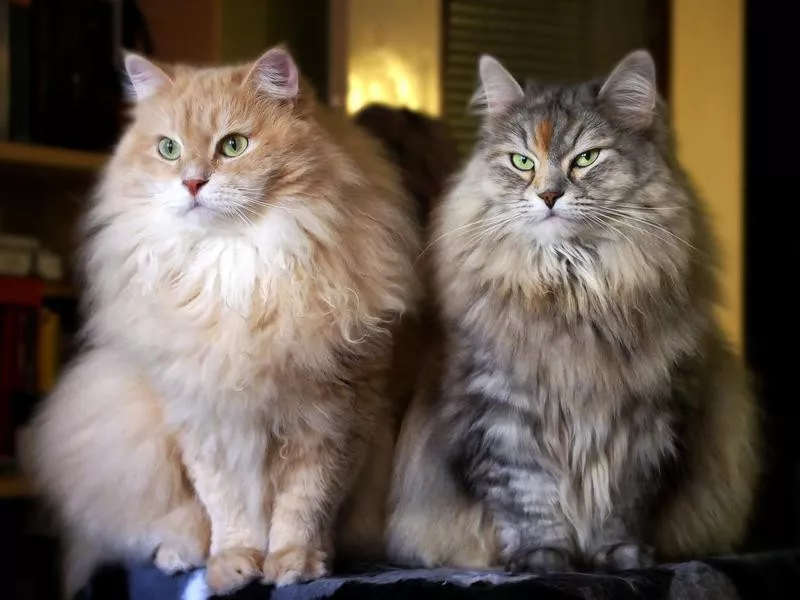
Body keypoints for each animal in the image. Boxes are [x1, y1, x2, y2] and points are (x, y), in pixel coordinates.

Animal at [21, 45, 416, 596]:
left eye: (233, 146)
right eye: (168, 149)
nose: (191, 182)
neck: (233, 265)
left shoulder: (333, 416)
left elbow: (304, 505)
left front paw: (293, 565)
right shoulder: (204, 418)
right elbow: (228, 509)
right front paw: (232, 567)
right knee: (163, 524)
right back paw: (180, 557)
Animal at [388, 50, 764, 572]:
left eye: (586, 158)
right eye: (522, 162)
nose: (548, 195)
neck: (573, 290)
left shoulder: (647, 420)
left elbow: (622, 503)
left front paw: (620, 555)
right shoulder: (503, 416)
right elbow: (530, 502)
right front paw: (544, 560)